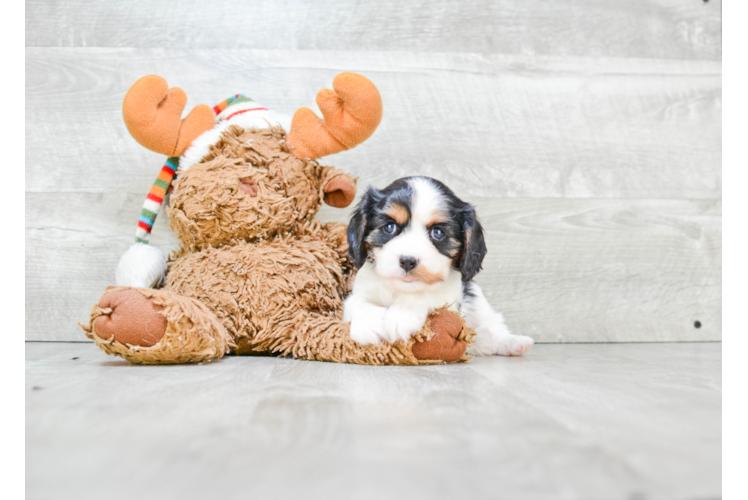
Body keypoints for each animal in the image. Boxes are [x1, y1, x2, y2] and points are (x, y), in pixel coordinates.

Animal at [342, 176, 536, 356]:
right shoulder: (361, 289)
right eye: (390, 227)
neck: (400, 289)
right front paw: (368, 323)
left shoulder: (451, 298)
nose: (407, 260)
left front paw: (403, 314)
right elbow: (356, 302)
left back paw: (510, 342)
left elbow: (427, 294)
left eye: (438, 233)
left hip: (478, 300)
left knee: (493, 323)